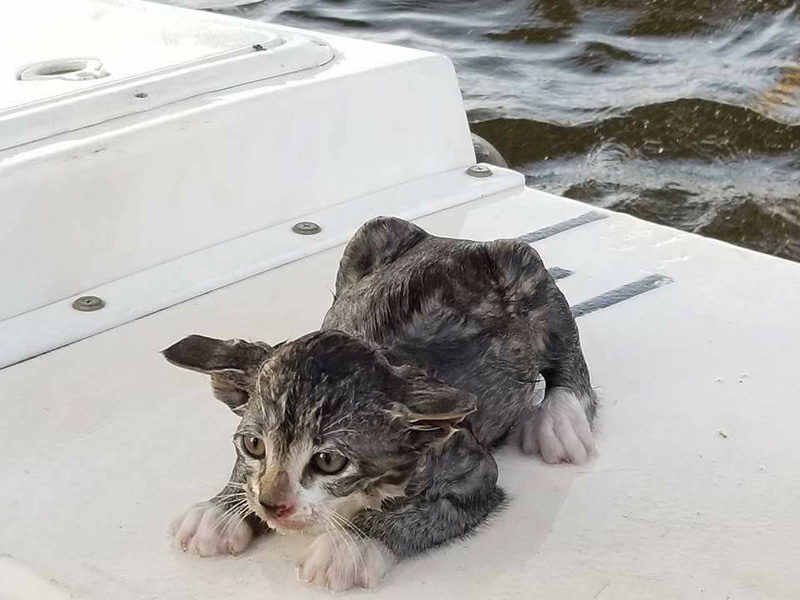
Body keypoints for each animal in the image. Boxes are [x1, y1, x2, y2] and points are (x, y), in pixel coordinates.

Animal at [167, 217, 592, 592]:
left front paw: (350, 547)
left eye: (328, 461)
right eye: (253, 445)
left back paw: (562, 418)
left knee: (564, 341)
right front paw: (221, 511)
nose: (273, 505)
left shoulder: (472, 471)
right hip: (372, 235)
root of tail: (458, 241)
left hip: (521, 268)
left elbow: (417, 514)